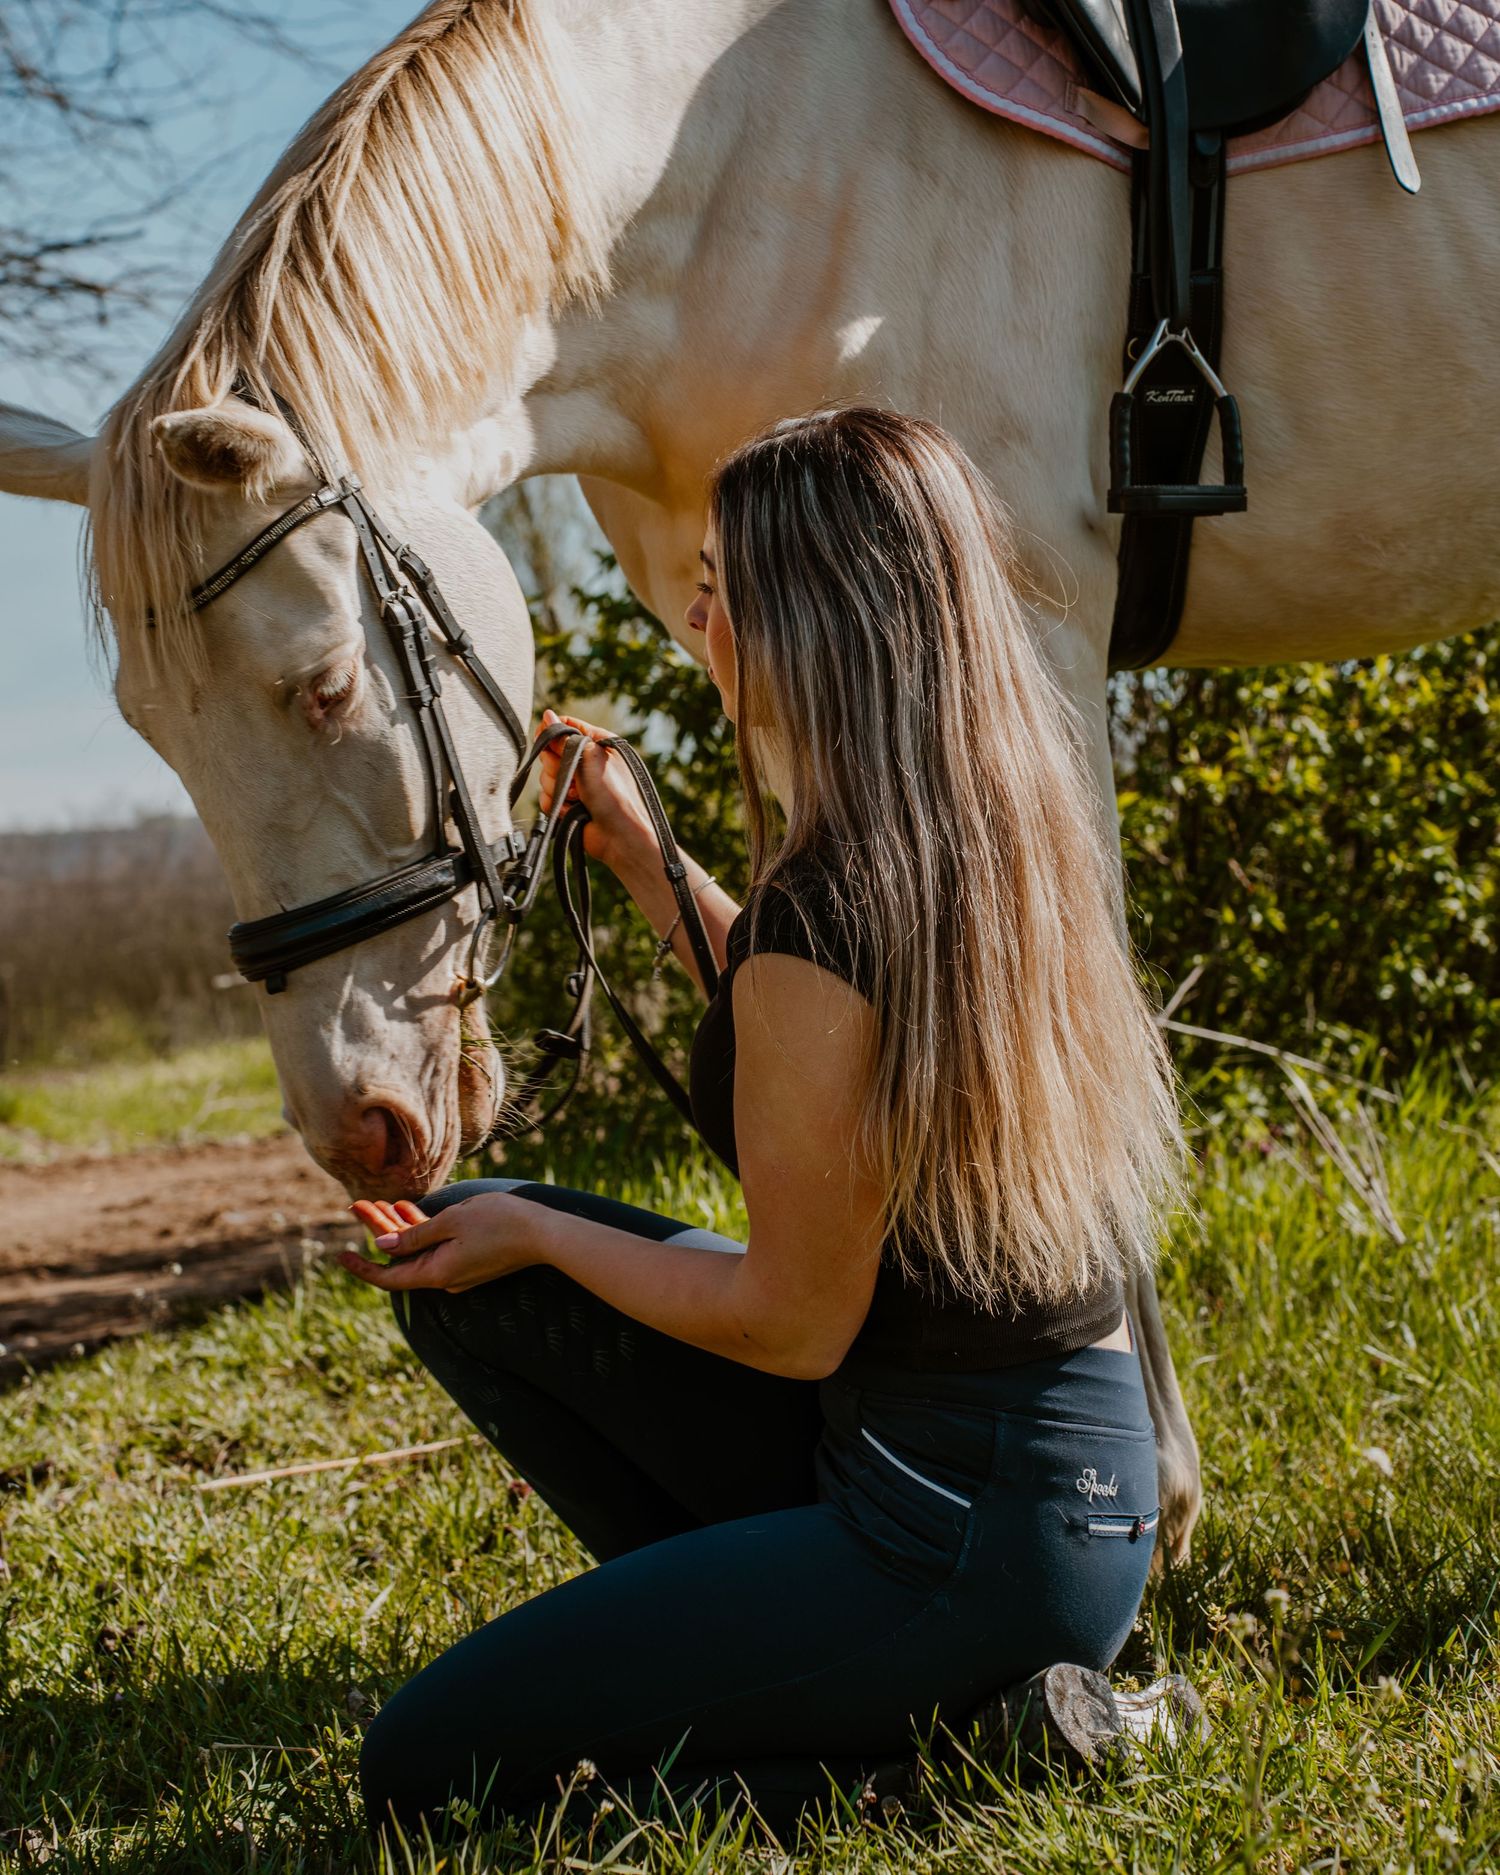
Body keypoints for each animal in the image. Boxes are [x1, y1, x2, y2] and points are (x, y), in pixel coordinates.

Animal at [3, 0, 1496, 1563]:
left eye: (329, 684)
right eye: (153, 735)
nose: (356, 1128)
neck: (742, 176)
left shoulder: (1023, 635)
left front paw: (1159, 1480)